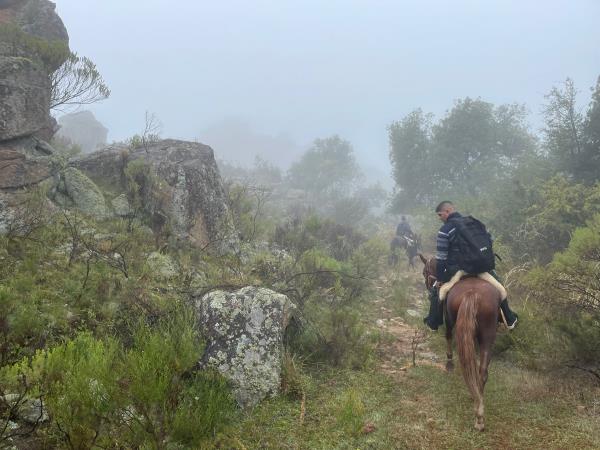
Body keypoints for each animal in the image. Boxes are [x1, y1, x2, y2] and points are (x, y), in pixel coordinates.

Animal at [418, 253, 502, 432]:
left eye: (424, 272)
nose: (429, 289)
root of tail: (473, 293)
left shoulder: (448, 318)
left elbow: (448, 336)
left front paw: (449, 363)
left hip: (452, 318)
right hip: (488, 334)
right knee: (482, 371)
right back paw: (479, 409)